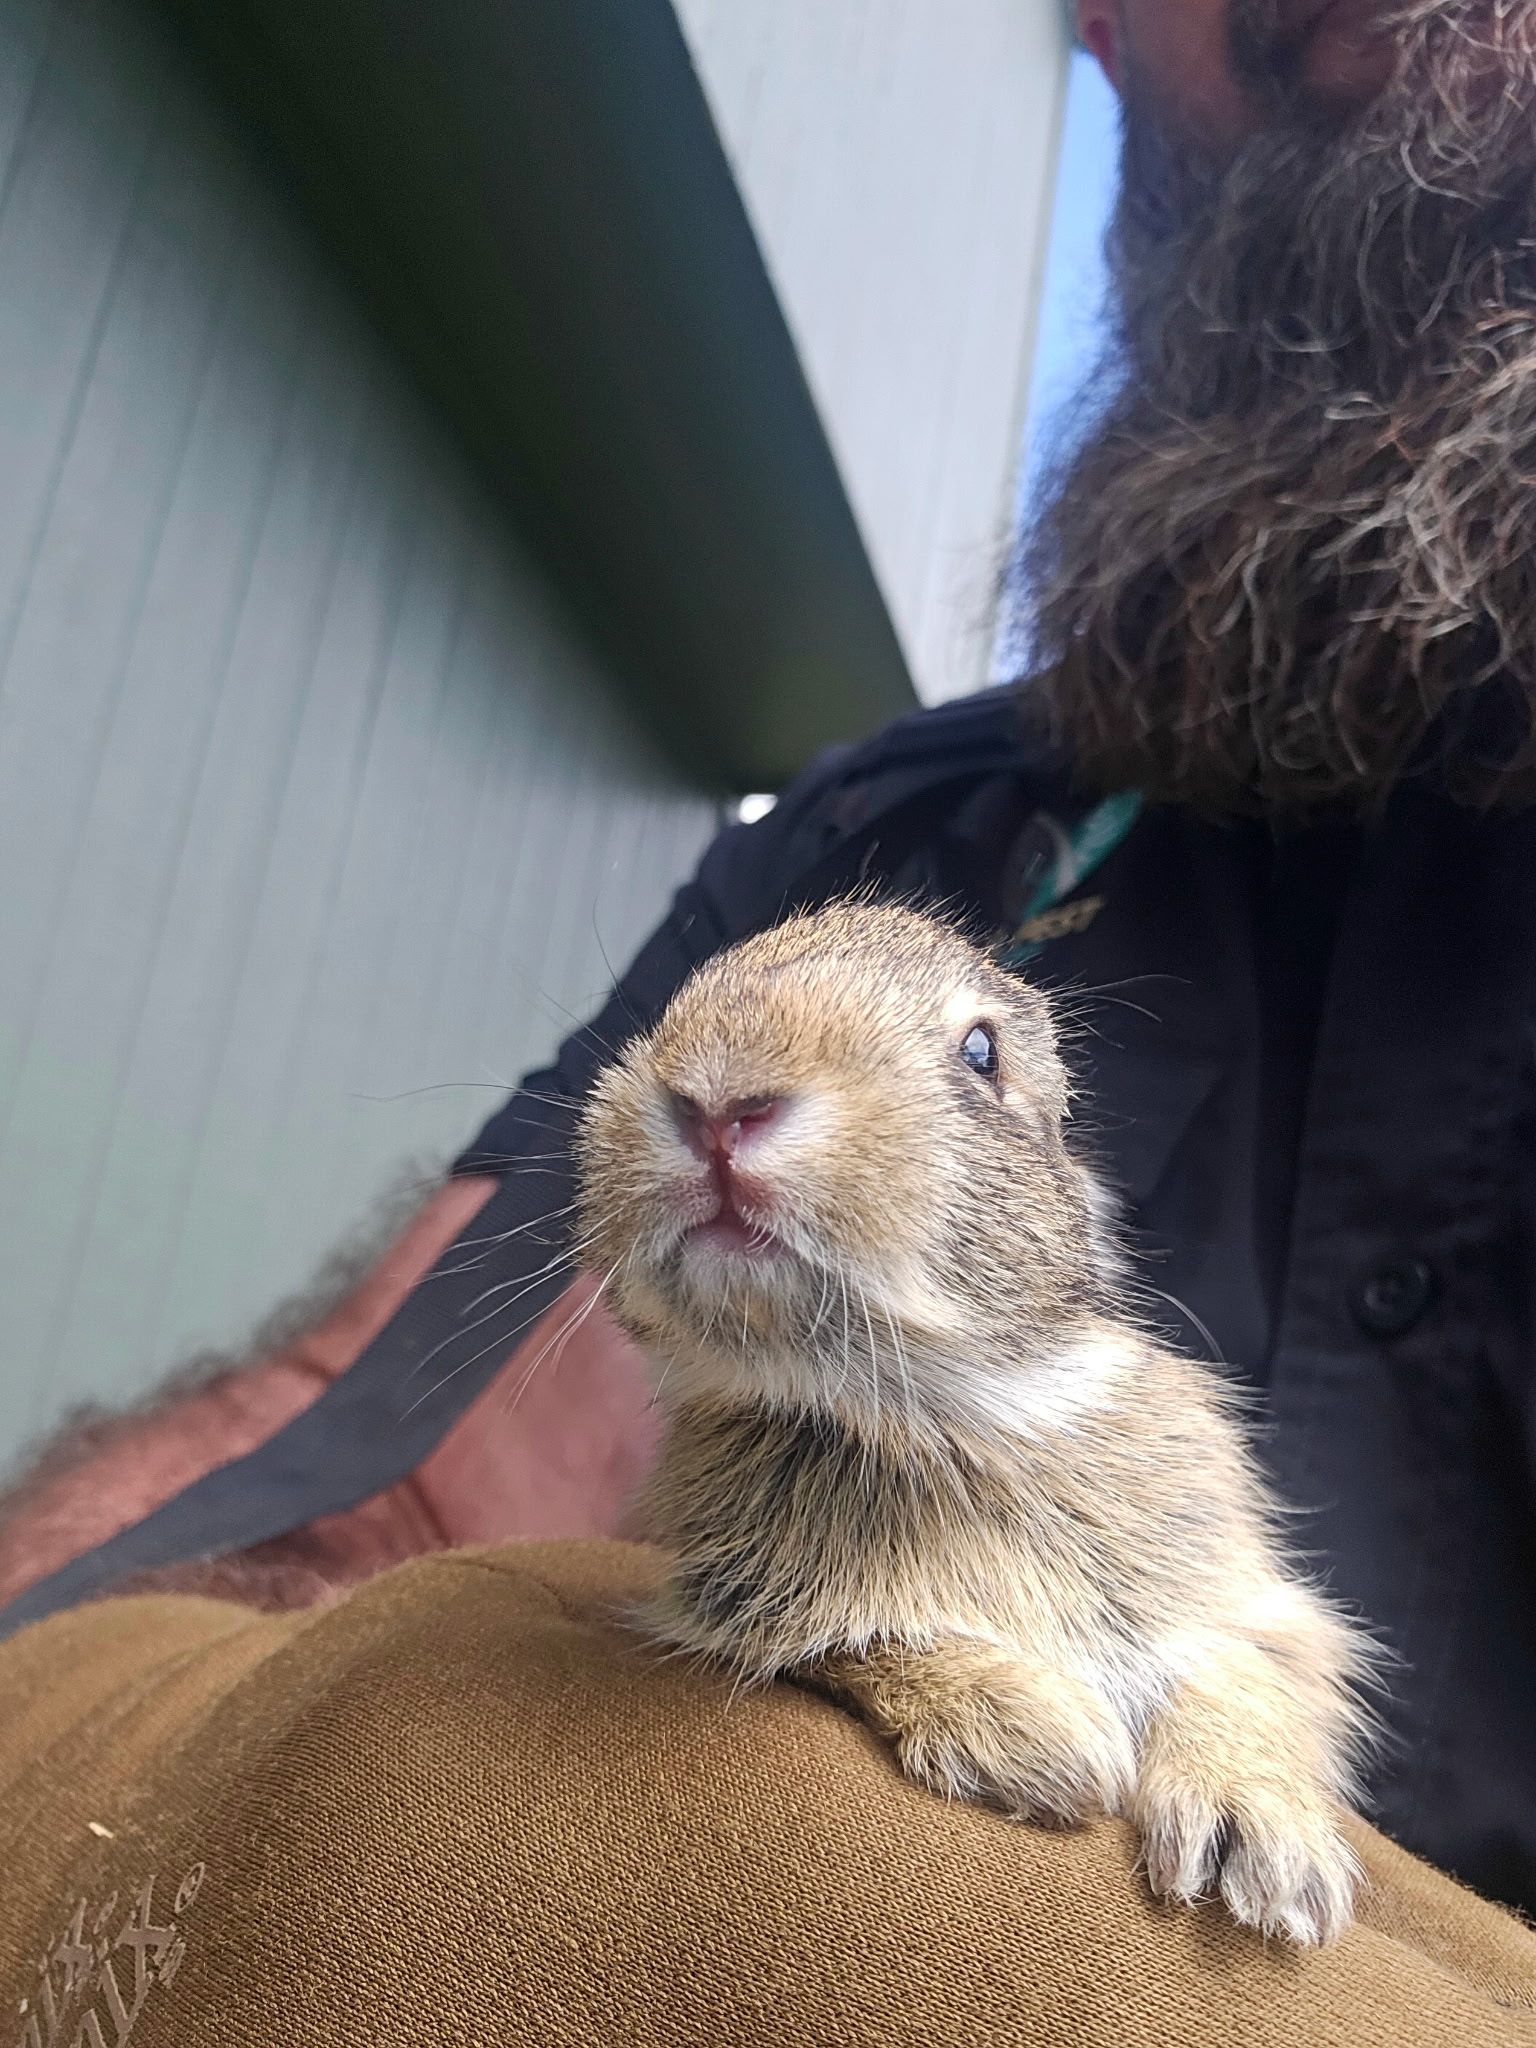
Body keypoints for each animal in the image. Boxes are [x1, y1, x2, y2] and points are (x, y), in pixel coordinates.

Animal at [575, 898, 1380, 1946]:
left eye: (981, 1053)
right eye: (679, 1003)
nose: (718, 1098)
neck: (921, 1407)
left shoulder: (1232, 1597)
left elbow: (1233, 1668)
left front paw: (1265, 1851)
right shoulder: (742, 1602)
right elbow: (852, 1640)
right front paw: (1043, 1742)